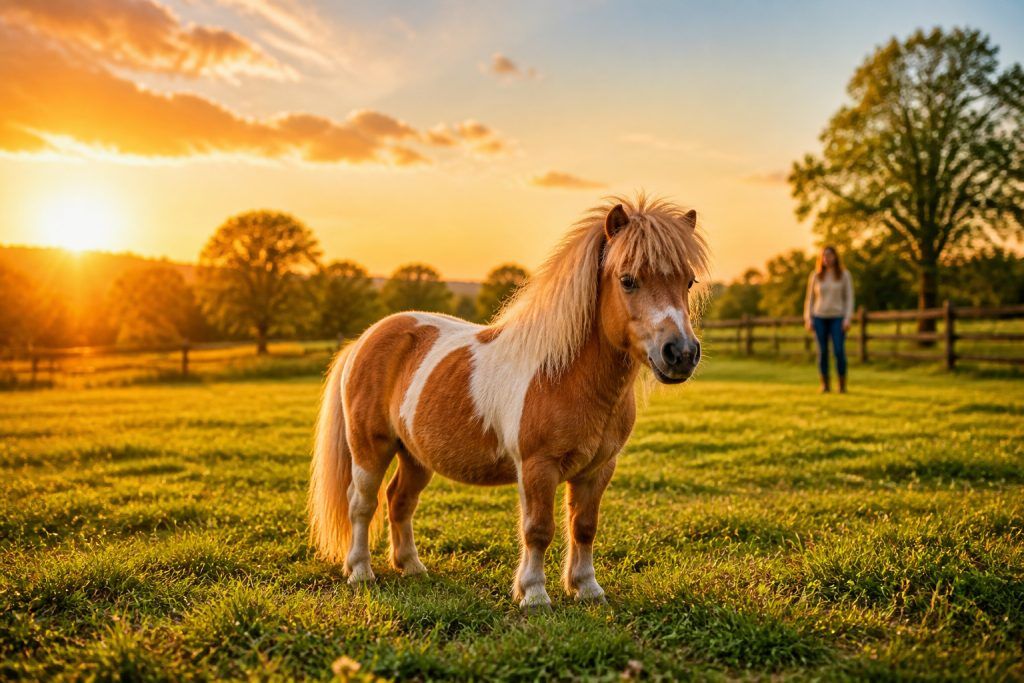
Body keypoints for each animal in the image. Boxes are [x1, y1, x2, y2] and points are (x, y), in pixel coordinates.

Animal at [308, 193, 710, 610]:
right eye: (628, 280)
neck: (564, 375)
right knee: (362, 503)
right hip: (370, 448)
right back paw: (360, 572)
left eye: (688, 281)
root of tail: (364, 339)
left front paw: (587, 588)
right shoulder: (537, 467)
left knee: (399, 500)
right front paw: (534, 593)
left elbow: (584, 527)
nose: (681, 353)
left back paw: (412, 567)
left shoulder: (597, 469)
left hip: (415, 454)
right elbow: (538, 529)